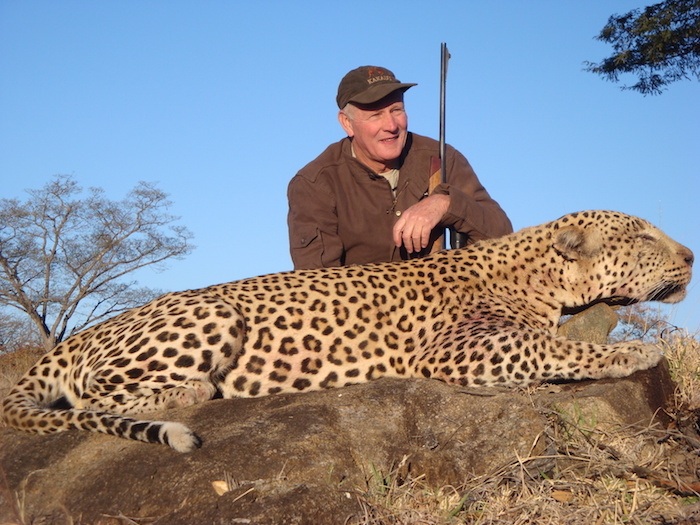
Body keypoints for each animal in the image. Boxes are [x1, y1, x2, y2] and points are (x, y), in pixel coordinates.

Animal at [1, 210, 693, 452]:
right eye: (641, 235)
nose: (690, 256)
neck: (541, 277)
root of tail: (77, 336)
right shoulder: (454, 350)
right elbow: (548, 343)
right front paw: (635, 349)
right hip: (212, 316)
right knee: (93, 395)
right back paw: (195, 393)